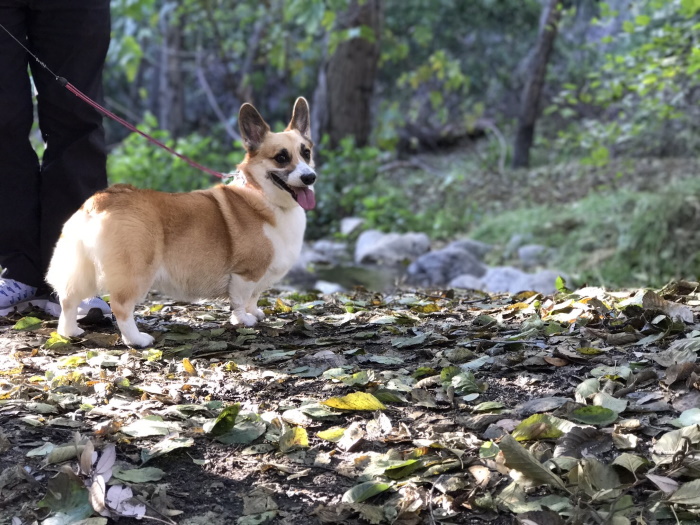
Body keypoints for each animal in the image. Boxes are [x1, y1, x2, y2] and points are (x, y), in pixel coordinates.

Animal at [45, 97, 314, 348]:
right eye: (281, 157)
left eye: (307, 153)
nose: (310, 177)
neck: (263, 196)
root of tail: (100, 199)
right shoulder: (245, 274)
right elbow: (240, 300)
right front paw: (244, 320)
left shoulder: (259, 280)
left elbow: (254, 298)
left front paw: (255, 312)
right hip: (135, 272)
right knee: (120, 307)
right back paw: (137, 340)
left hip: (85, 269)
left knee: (68, 299)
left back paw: (69, 332)